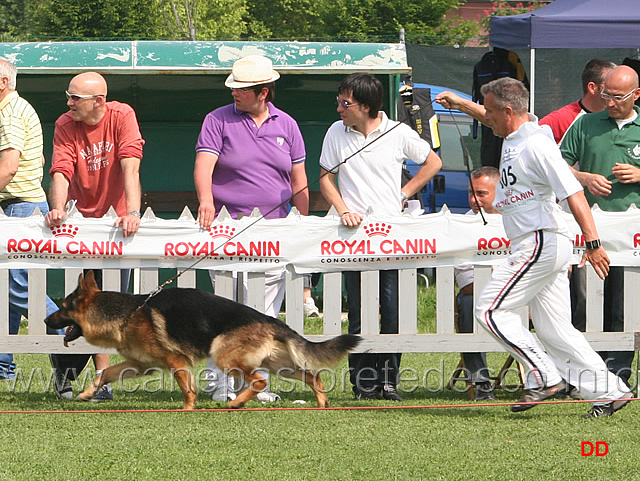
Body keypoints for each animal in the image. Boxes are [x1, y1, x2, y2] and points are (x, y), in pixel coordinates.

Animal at [45, 270, 360, 408]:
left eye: (63, 308)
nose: (47, 321)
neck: (128, 312)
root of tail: (271, 319)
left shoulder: (176, 361)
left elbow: (188, 388)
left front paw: (187, 409)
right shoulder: (140, 365)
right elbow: (105, 373)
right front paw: (87, 394)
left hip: (224, 354)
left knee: (259, 381)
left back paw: (235, 403)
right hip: (279, 364)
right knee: (312, 375)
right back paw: (322, 404)